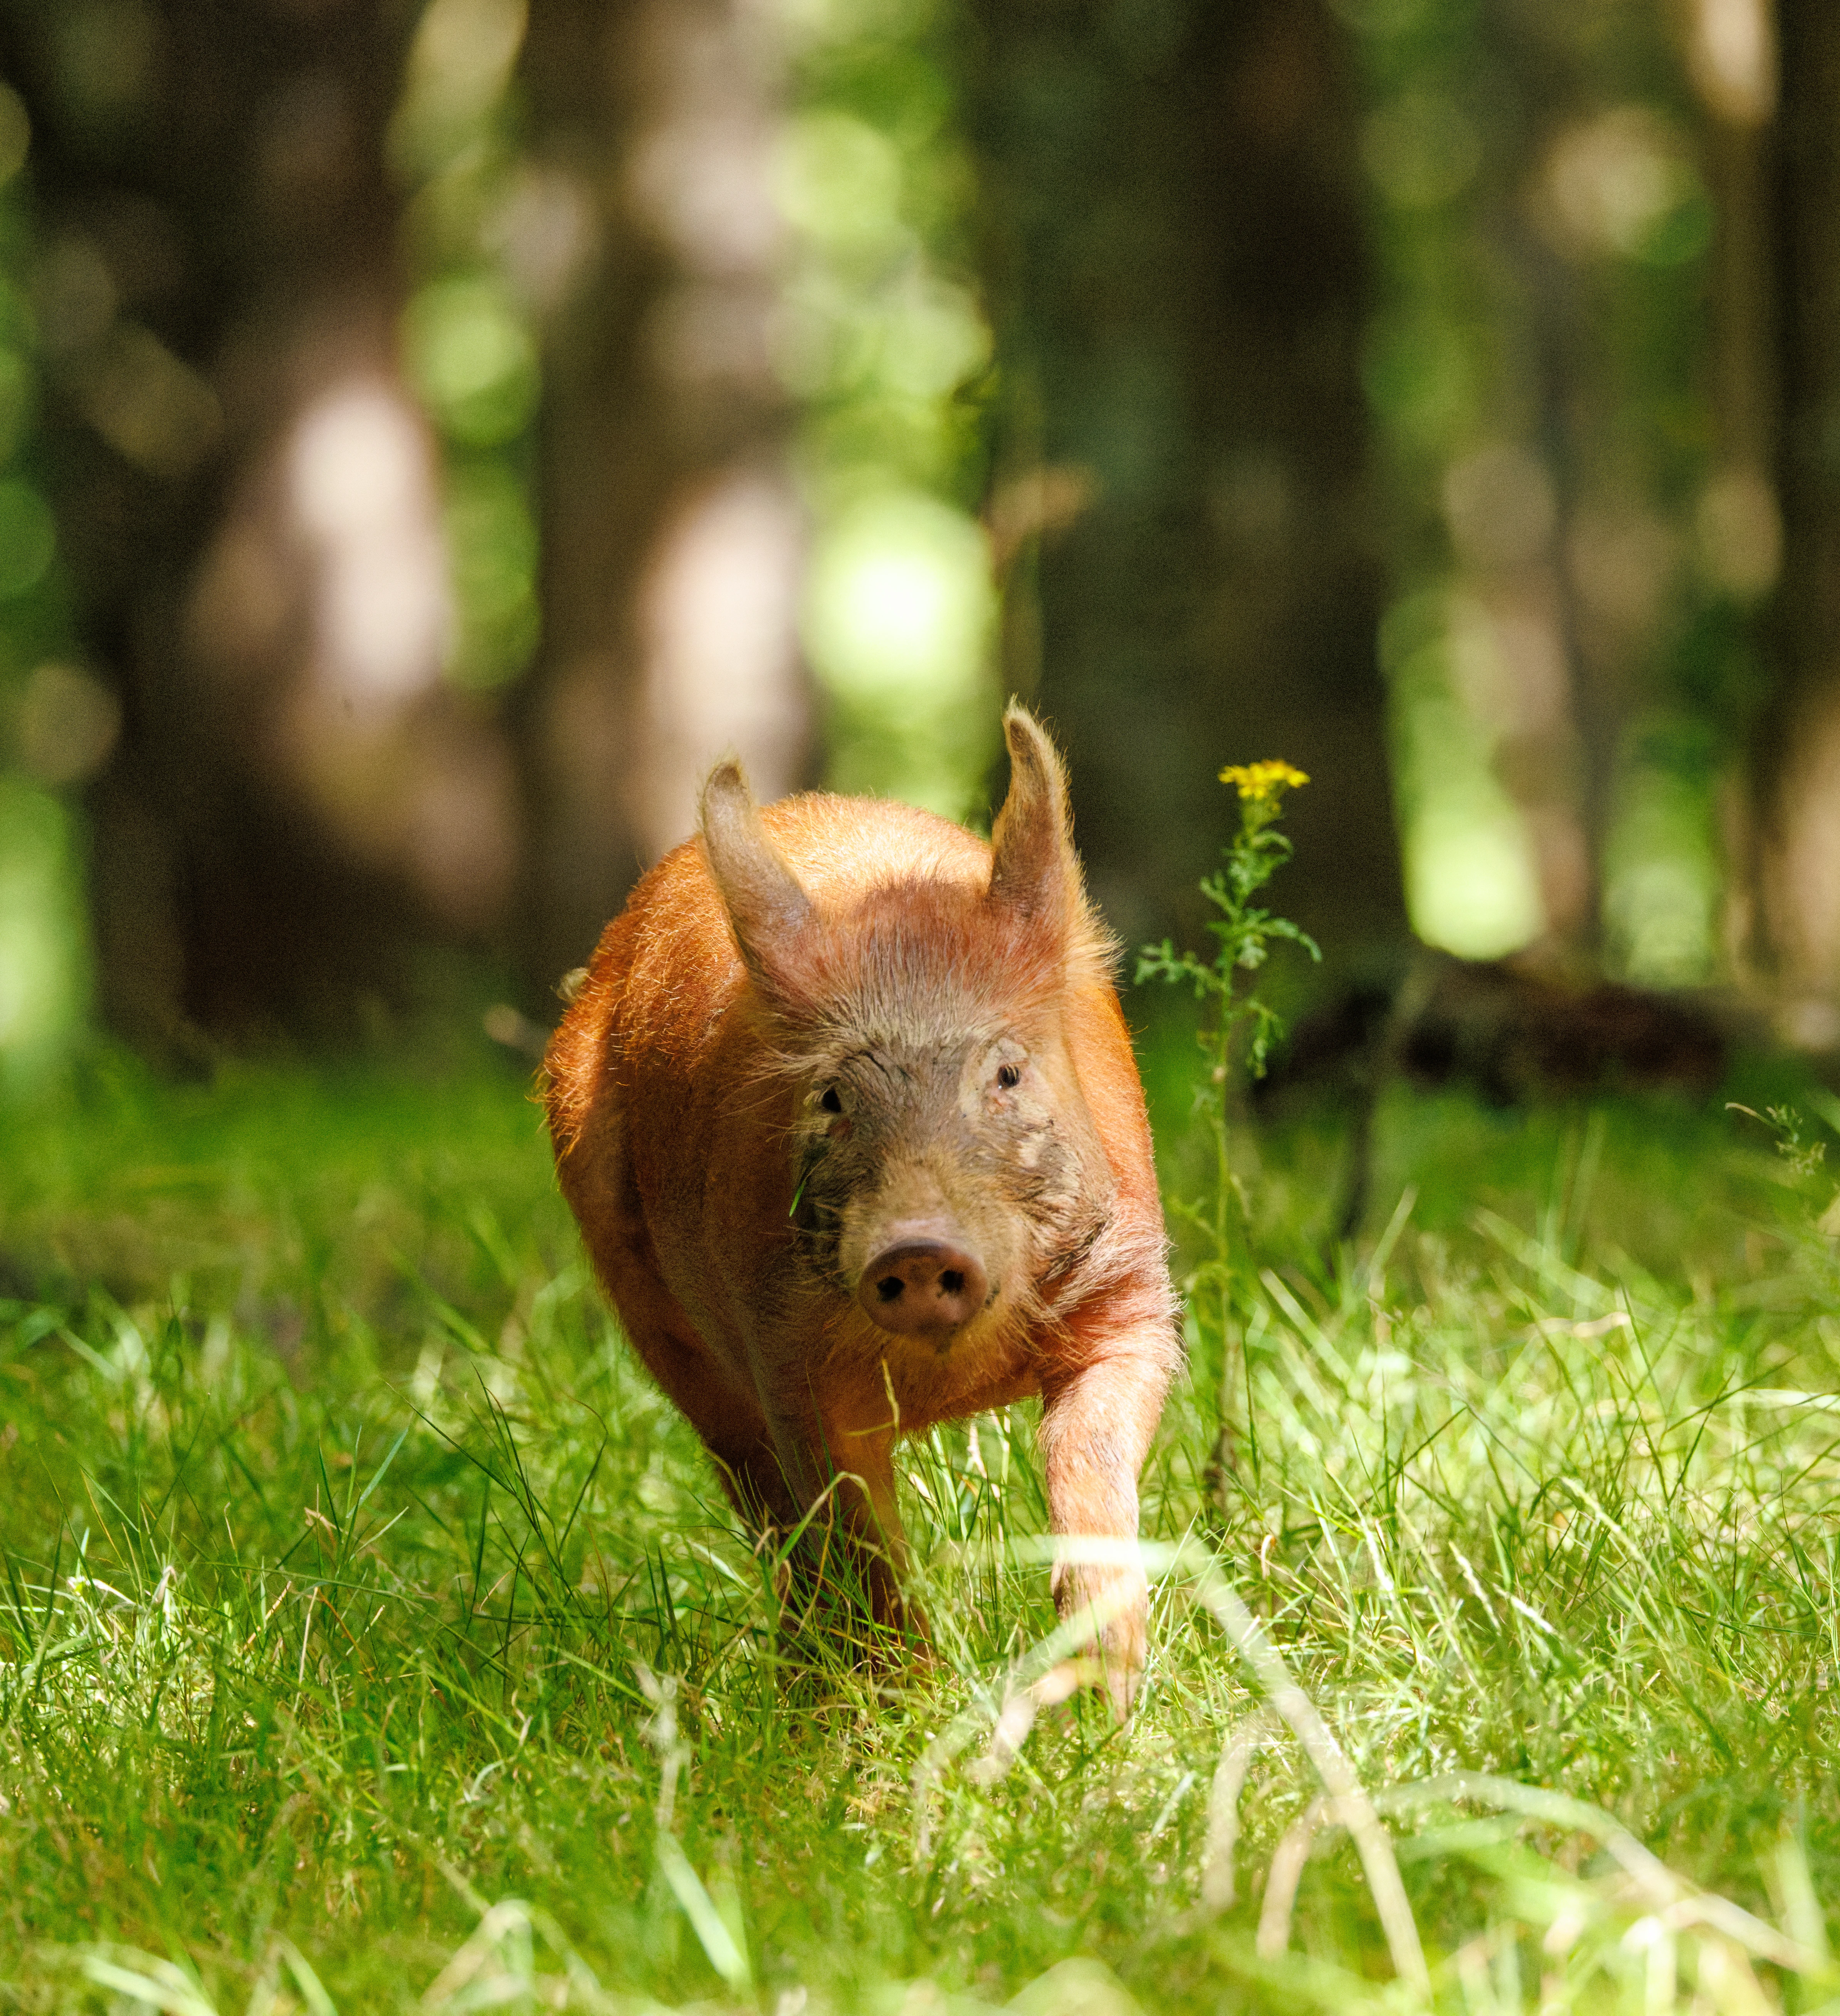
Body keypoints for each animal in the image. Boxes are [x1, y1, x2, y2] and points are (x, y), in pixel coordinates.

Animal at [543, 706, 1179, 1711]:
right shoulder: (784, 1356)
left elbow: (1091, 1461)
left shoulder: (1133, 1296)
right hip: (661, 1331)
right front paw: (908, 1712)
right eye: (835, 1097)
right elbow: (856, 1542)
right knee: (764, 1510)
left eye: (1006, 1073)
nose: (914, 1247)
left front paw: (1104, 1705)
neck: (951, 1378)